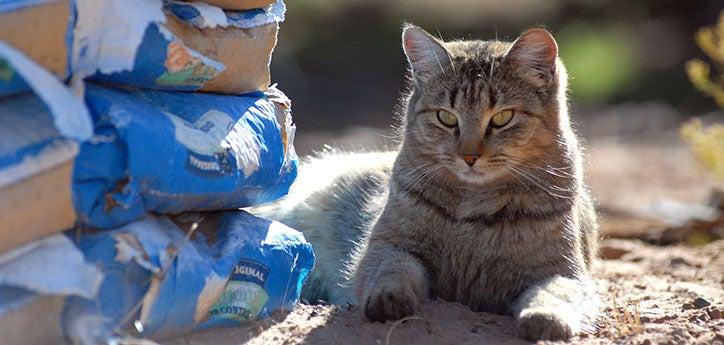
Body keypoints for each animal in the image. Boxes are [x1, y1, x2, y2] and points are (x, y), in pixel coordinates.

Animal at [252, 24, 604, 342]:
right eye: (445, 118)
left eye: (502, 118)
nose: (470, 156)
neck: (474, 206)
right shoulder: (388, 245)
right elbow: (394, 270)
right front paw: (389, 298)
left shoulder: (565, 271)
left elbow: (555, 293)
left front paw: (545, 318)